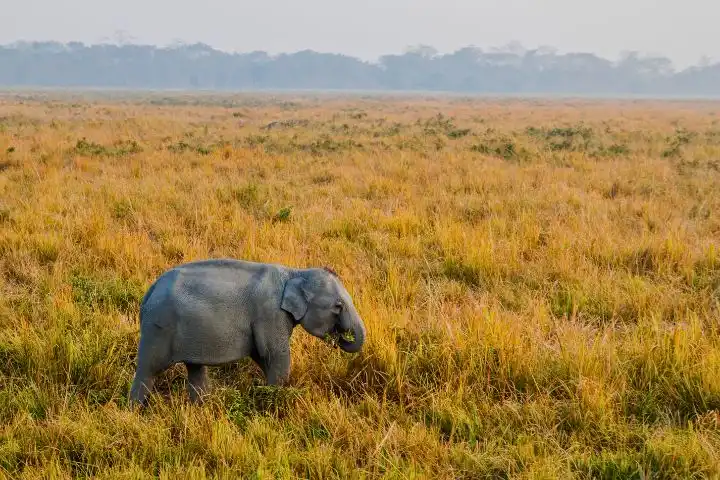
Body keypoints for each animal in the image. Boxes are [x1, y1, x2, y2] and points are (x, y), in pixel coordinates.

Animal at [128, 256, 366, 406]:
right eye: (338, 306)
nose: (341, 336)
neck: (294, 272)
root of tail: (150, 291)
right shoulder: (269, 314)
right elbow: (274, 355)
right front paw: (274, 404)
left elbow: (261, 356)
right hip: (159, 327)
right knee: (148, 369)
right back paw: (135, 412)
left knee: (195, 367)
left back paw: (201, 408)